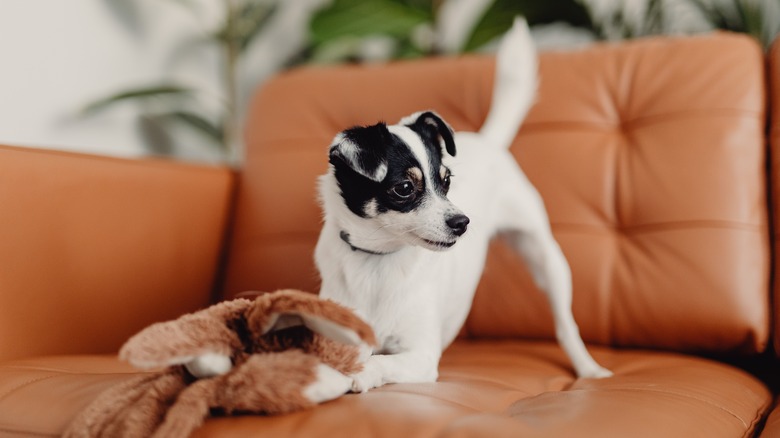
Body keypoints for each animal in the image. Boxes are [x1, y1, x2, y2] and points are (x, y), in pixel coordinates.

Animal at [314, 18, 612, 394]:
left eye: (446, 181)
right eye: (404, 188)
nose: (462, 222)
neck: (378, 259)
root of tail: (488, 140)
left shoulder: (422, 355)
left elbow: (377, 361)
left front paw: (358, 374)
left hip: (547, 260)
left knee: (565, 324)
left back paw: (588, 368)